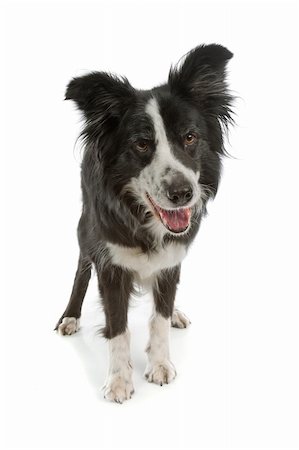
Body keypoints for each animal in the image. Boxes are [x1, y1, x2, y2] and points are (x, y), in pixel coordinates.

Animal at [55, 44, 236, 404]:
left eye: (190, 137)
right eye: (141, 143)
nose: (183, 193)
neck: (143, 217)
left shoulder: (172, 259)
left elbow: (160, 317)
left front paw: (161, 363)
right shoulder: (110, 264)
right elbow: (118, 327)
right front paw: (119, 380)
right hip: (85, 228)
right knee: (81, 269)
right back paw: (70, 315)